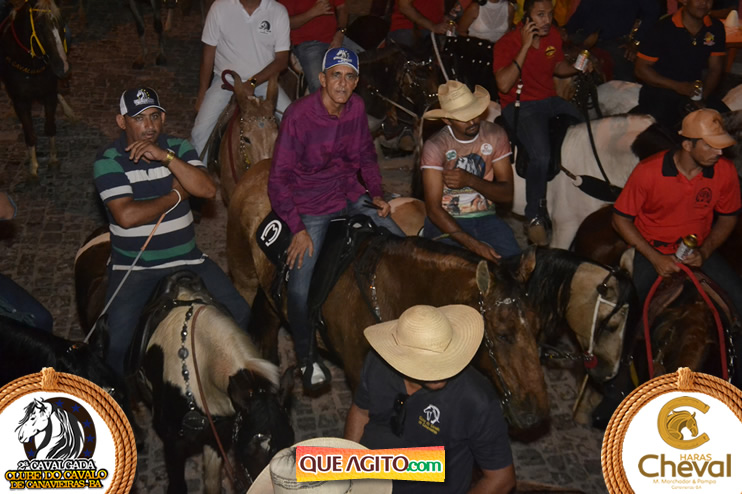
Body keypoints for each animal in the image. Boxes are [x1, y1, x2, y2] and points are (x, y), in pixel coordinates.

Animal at [0, 0, 70, 178]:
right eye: (38, 24)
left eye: (61, 21)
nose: (63, 67)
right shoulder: (20, 101)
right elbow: (30, 135)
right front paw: (33, 168)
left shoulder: (49, 94)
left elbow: (50, 127)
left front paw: (53, 160)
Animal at [226, 158, 549, 432]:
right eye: (503, 334)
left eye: (537, 330)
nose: (535, 414)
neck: (391, 293)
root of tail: (258, 168)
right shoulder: (359, 374)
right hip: (243, 277)